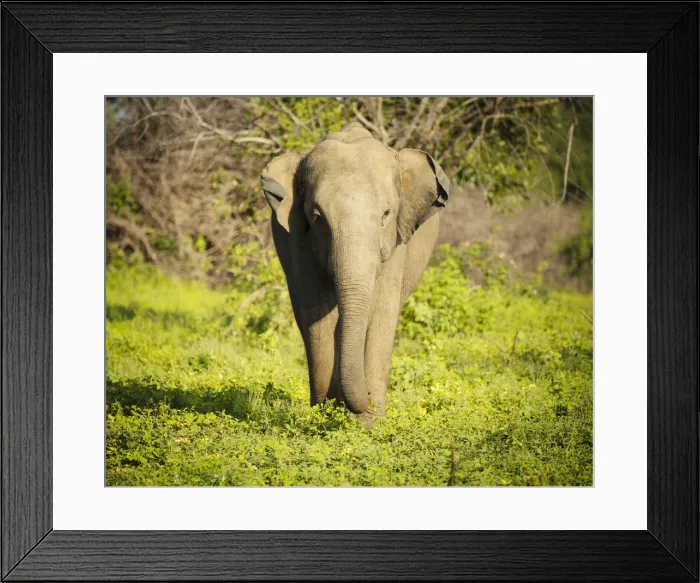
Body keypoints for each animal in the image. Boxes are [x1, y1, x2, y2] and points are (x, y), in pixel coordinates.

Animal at [261, 123, 449, 427]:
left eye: (386, 214)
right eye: (317, 217)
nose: (364, 404)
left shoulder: (396, 242)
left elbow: (381, 309)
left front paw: (370, 423)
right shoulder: (298, 241)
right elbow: (316, 312)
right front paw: (324, 417)